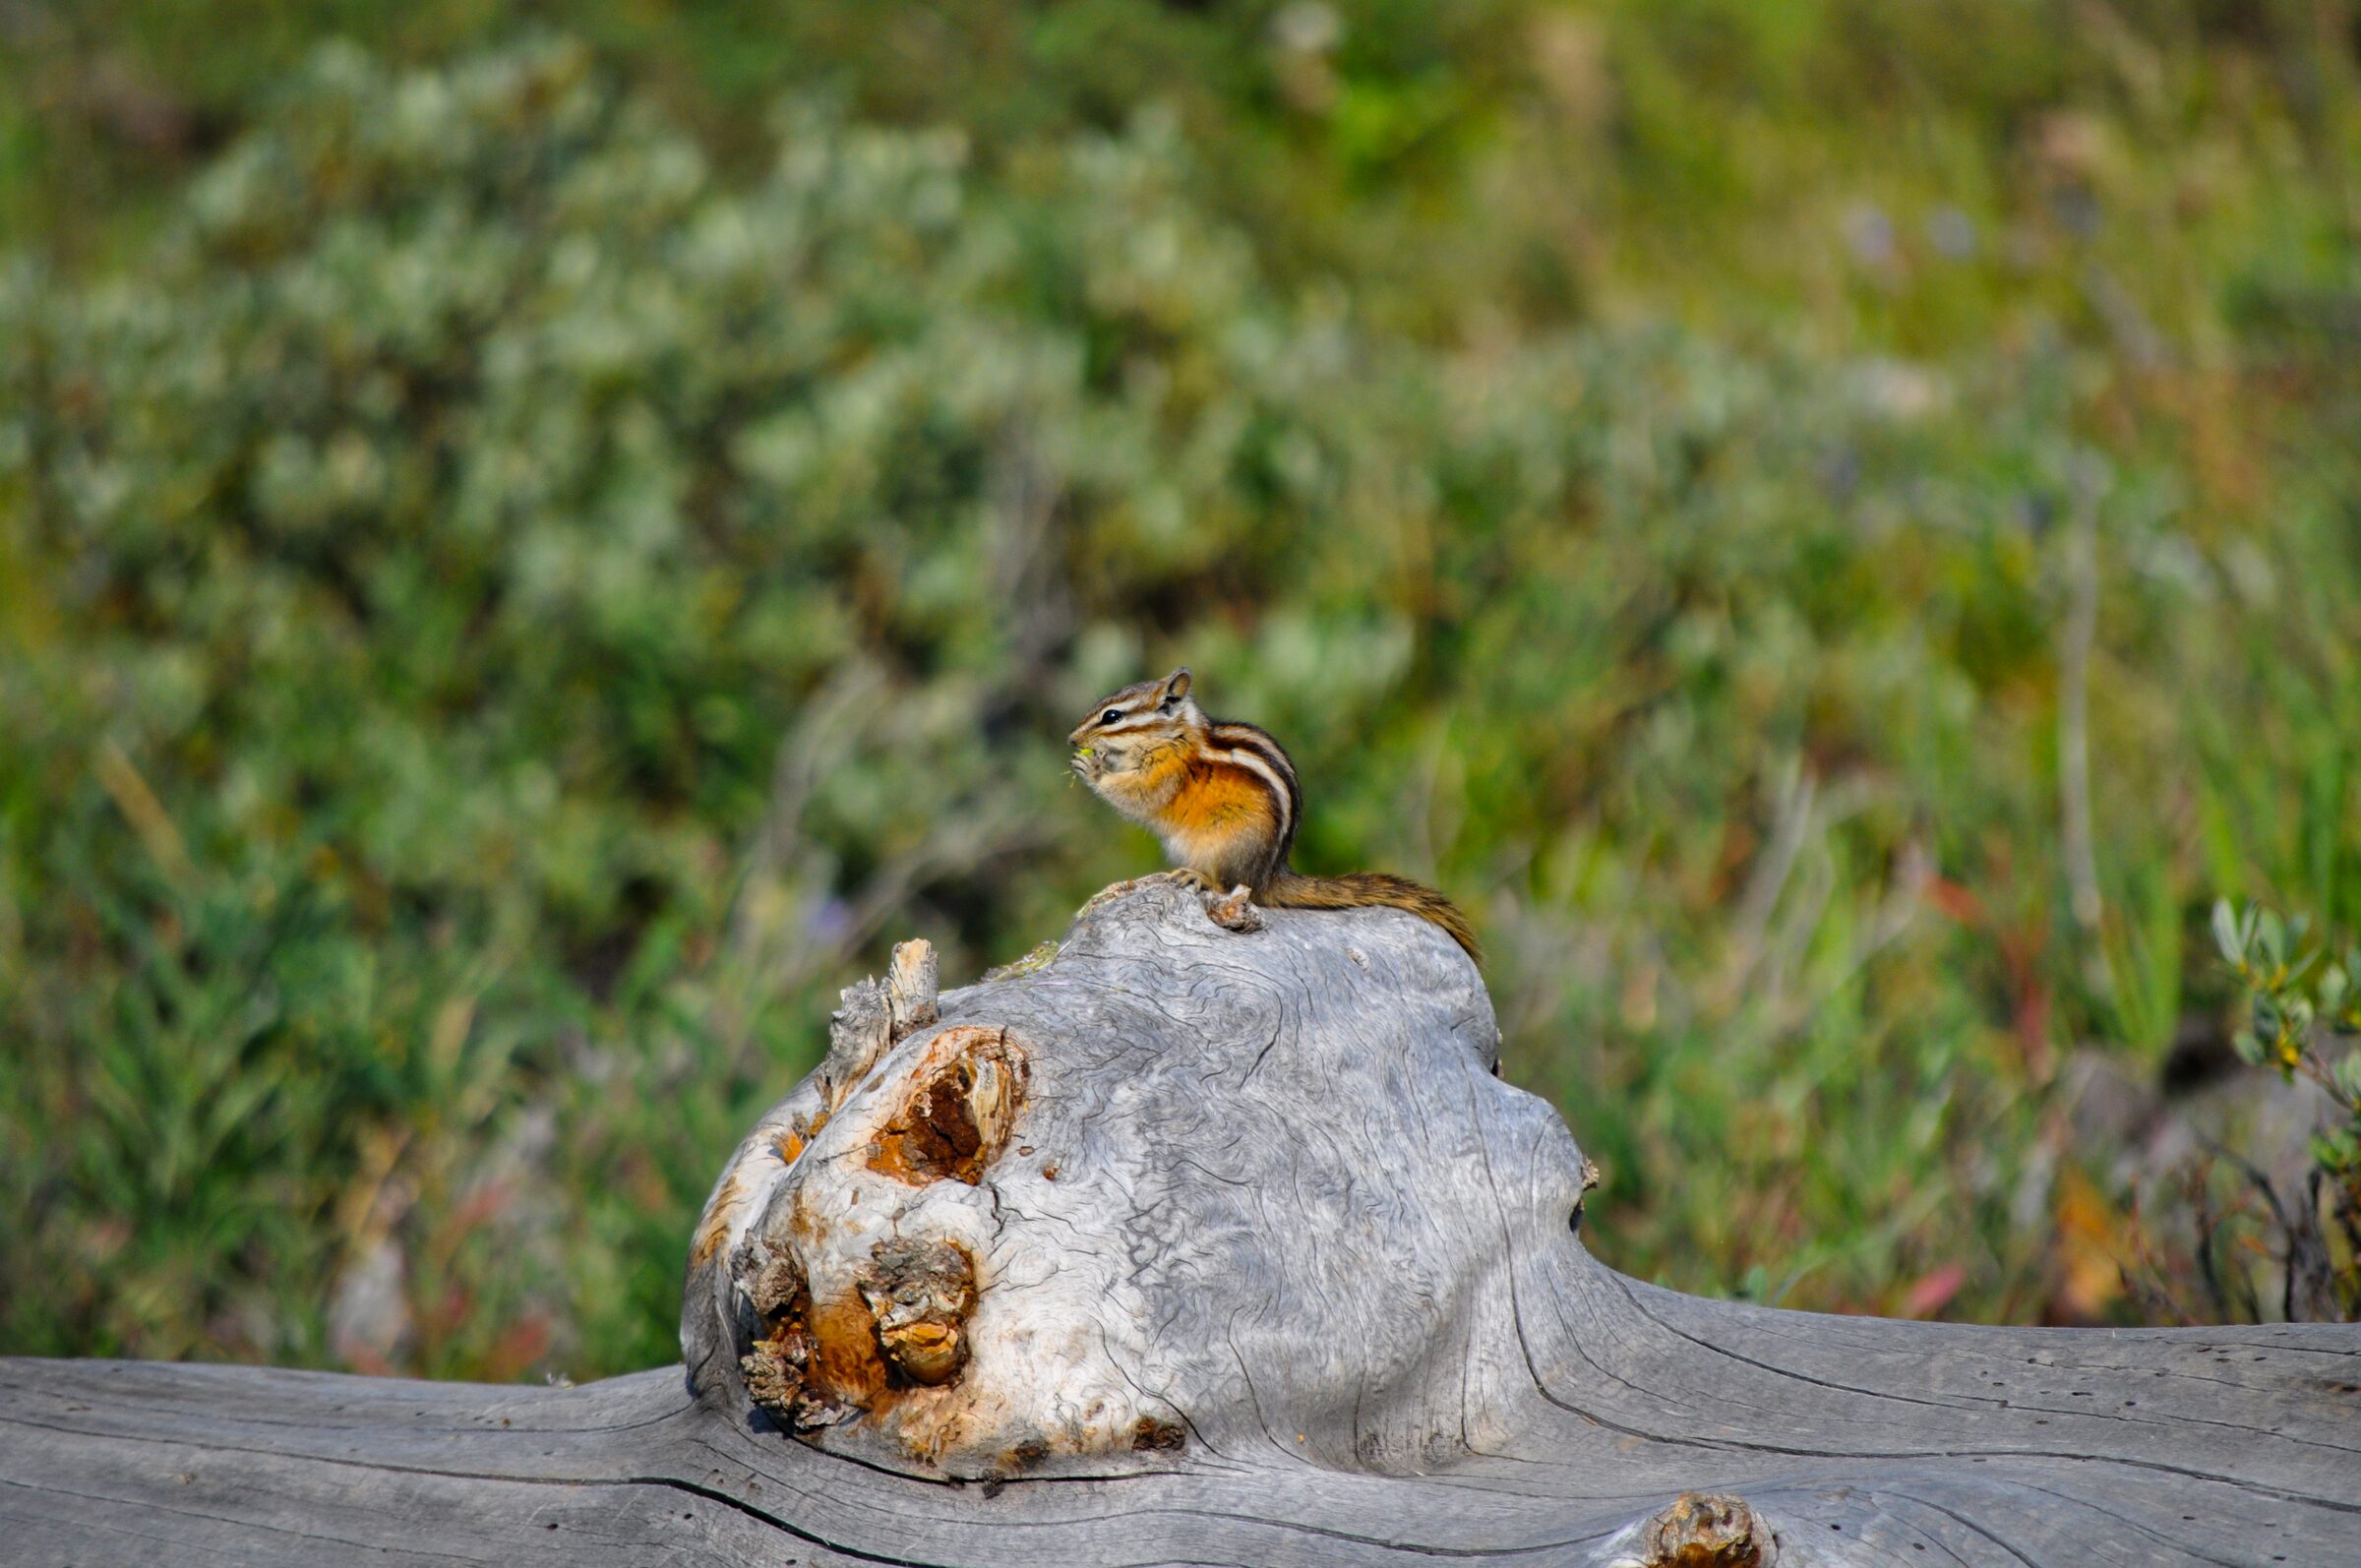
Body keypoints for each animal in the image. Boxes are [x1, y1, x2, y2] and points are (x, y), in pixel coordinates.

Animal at [1066, 667, 1479, 962]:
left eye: (1112, 717)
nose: (1072, 739)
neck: (1175, 737)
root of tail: (1268, 875)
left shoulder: (1167, 774)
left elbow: (1138, 797)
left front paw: (1093, 769)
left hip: (1226, 845)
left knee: (1225, 884)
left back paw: (1198, 877)